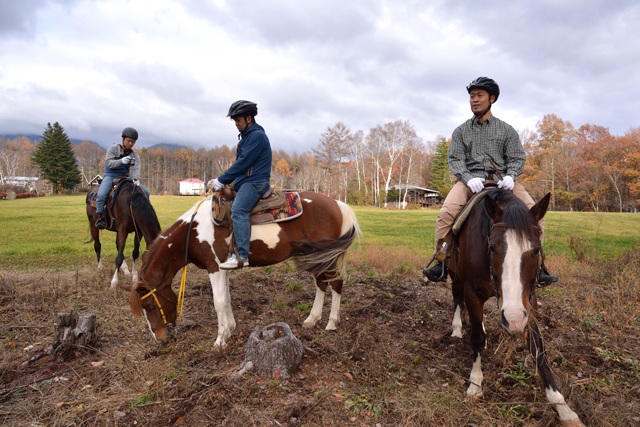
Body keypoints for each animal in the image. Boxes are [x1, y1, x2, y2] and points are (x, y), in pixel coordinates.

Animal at [129, 191, 360, 348]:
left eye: (149, 306)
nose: (160, 339)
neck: (193, 231)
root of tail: (339, 204)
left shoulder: (214, 268)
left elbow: (219, 302)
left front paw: (220, 340)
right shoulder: (223, 269)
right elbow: (227, 299)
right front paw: (230, 330)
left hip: (328, 257)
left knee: (335, 284)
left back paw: (332, 323)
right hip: (317, 257)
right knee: (321, 283)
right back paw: (312, 319)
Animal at [442, 190, 584, 427]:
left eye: (536, 250)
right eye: (492, 247)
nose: (514, 320)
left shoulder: (529, 301)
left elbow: (537, 347)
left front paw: (563, 408)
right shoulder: (472, 293)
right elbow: (476, 339)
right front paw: (475, 385)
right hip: (456, 275)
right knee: (457, 299)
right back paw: (457, 328)